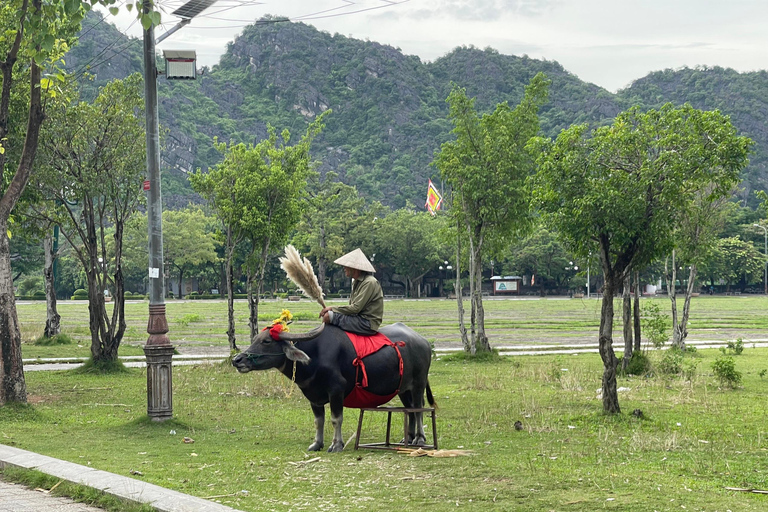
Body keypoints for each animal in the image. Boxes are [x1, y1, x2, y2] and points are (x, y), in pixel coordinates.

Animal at [231, 324, 436, 452]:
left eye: (266, 341)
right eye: (255, 339)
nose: (237, 360)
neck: (314, 358)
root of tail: (423, 341)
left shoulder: (336, 392)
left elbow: (336, 419)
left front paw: (336, 445)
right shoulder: (313, 396)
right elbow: (318, 421)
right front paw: (317, 444)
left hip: (418, 384)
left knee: (419, 409)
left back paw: (419, 438)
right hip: (403, 389)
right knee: (410, 409)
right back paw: (408, 438)